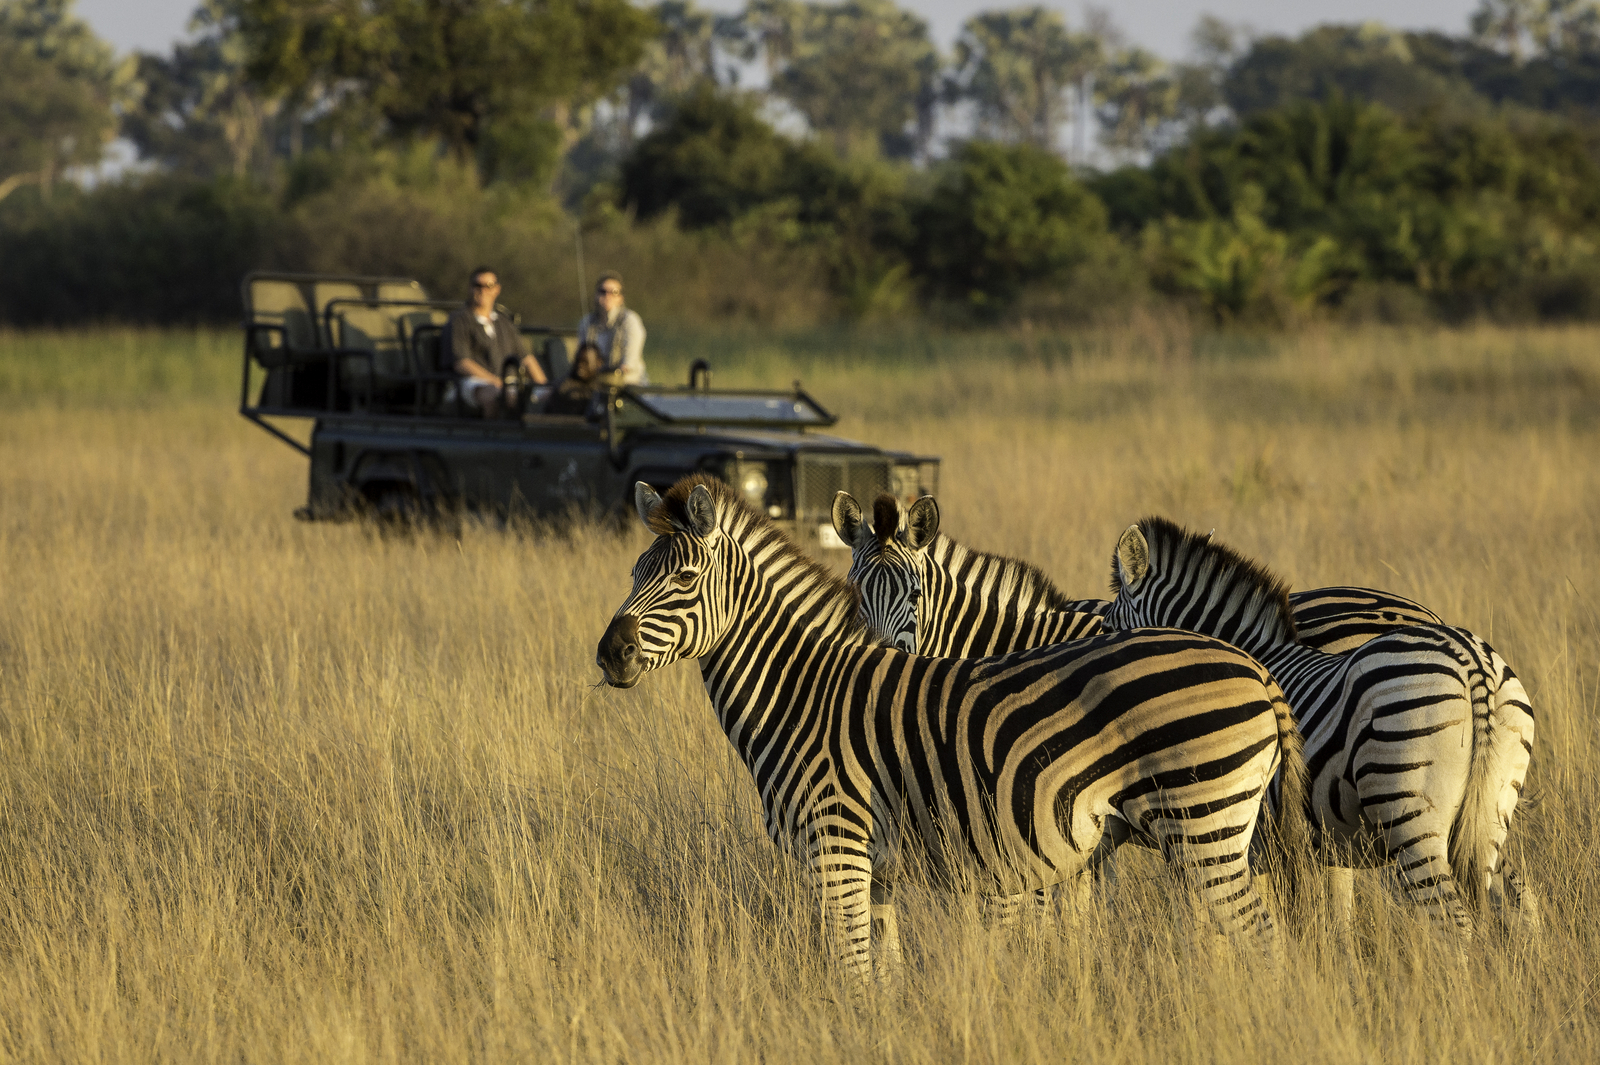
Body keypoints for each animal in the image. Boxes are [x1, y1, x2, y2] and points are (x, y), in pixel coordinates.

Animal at [597, 475, 1312, 983]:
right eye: (633, 575)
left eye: (684, 578)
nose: (610, 654)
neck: (803, 691)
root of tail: (1255, 668)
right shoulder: (876, 872)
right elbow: (881, 978)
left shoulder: (837, 852)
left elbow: (852, 978)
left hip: (1204, 827)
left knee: (1266, 943)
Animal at [1102, 516, 1538, 939]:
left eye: (1105, 631)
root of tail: (1472, 661)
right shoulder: (1327, 843)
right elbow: (1335, 919)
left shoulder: (1247, 836)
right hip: (1490, 810)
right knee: (1509, 898)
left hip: (1409, 810)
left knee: (1452, 921)